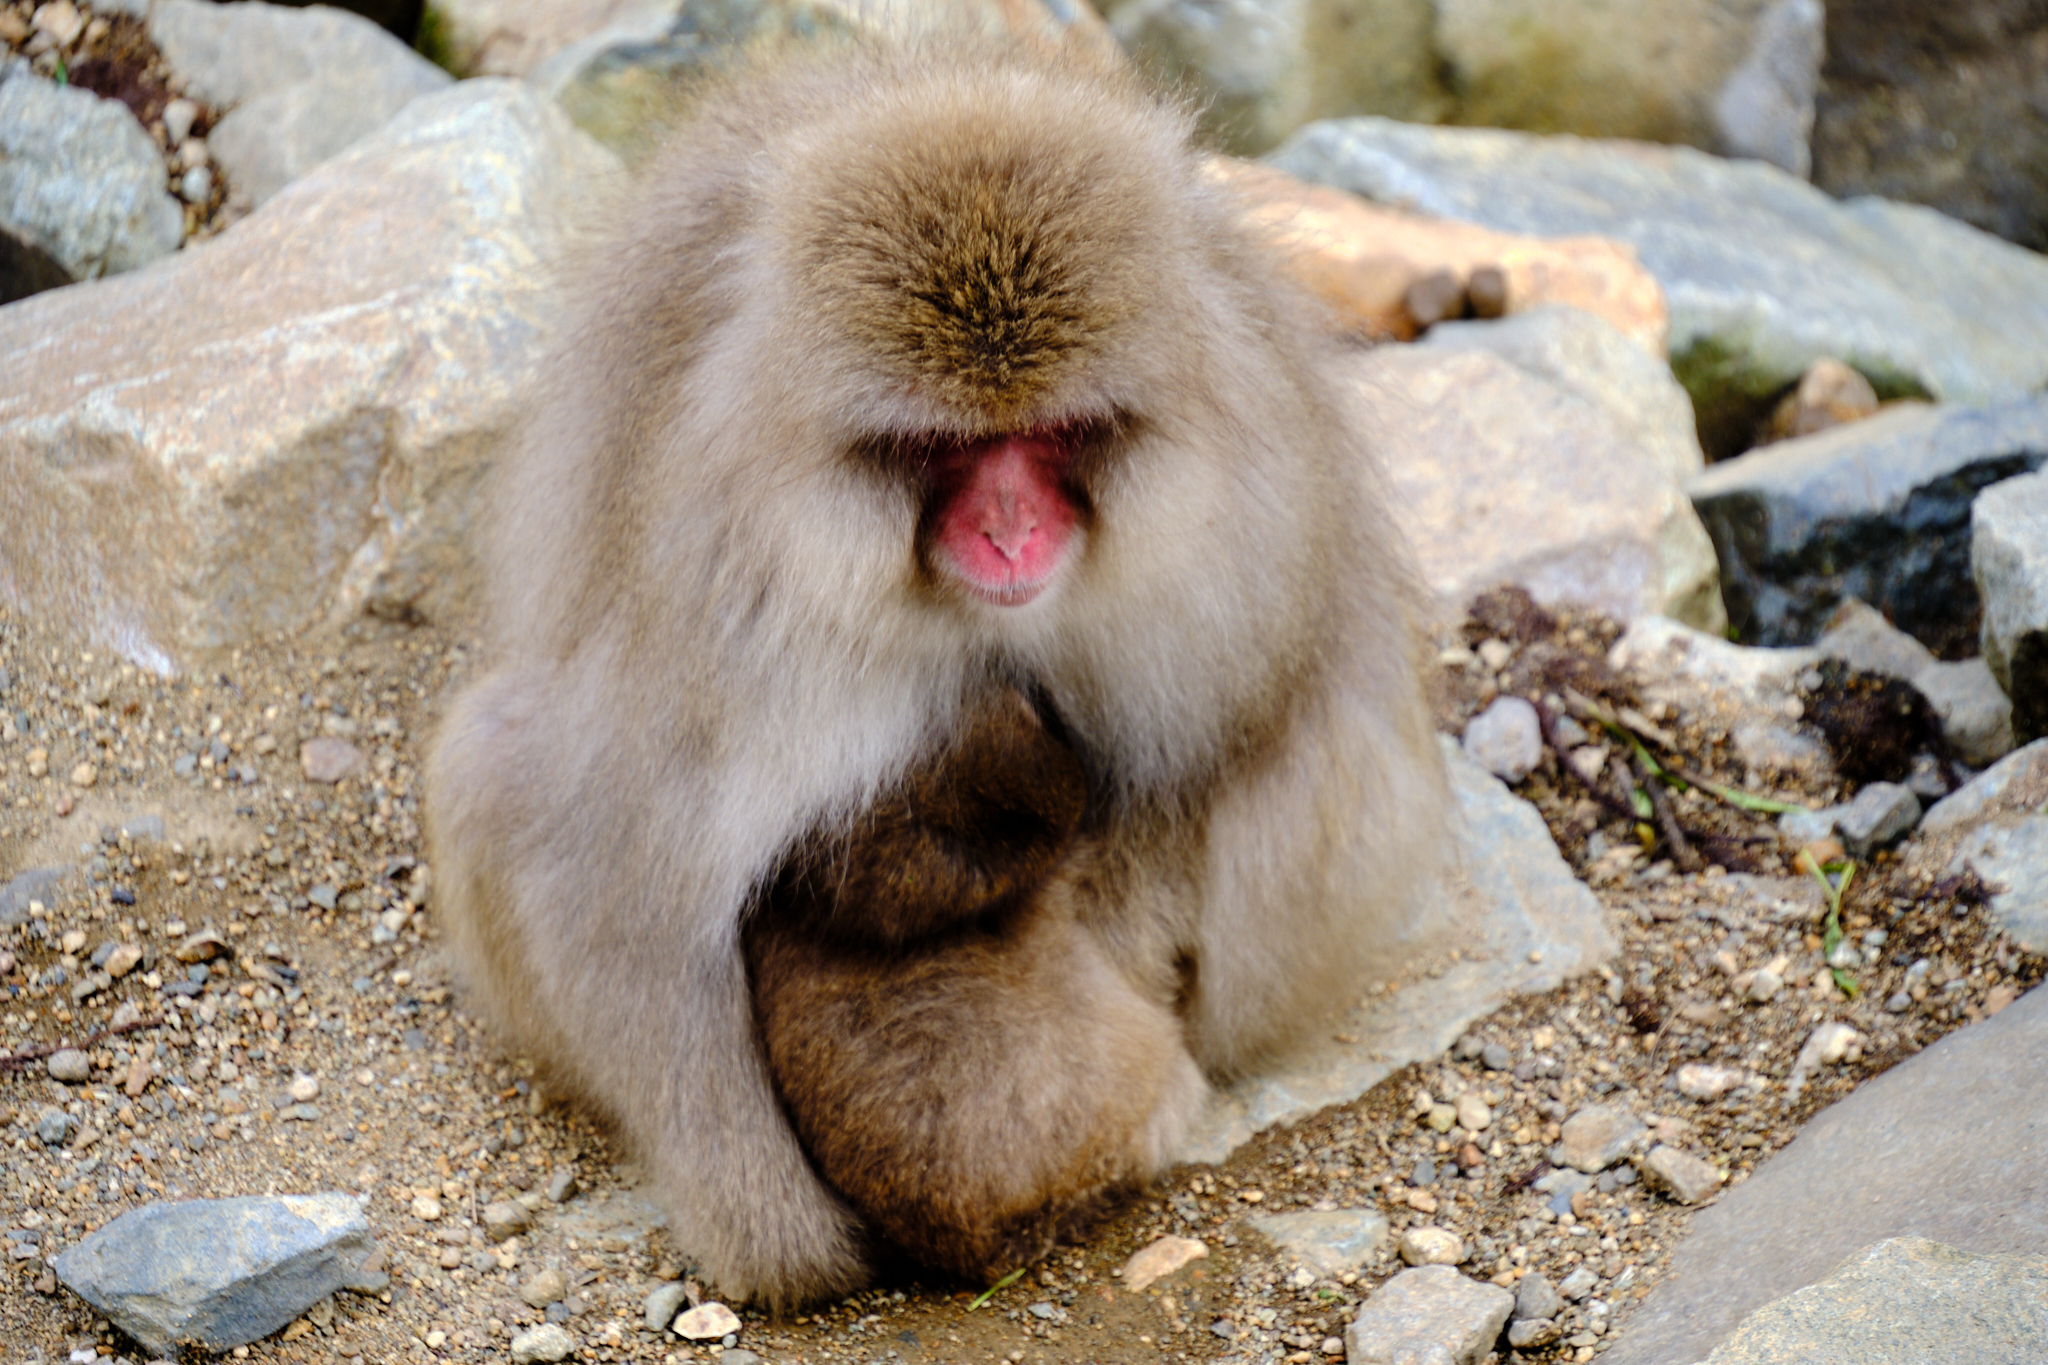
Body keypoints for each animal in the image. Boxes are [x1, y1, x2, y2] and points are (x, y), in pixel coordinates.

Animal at [425, 38, 1446, 1310]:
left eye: (1053, 432)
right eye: (942, 447)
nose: (1009, 533)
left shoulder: (1248, 523)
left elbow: (1239, 739)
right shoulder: (728, 609)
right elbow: (606, 853)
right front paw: (785, 1243)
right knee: (491, 759)